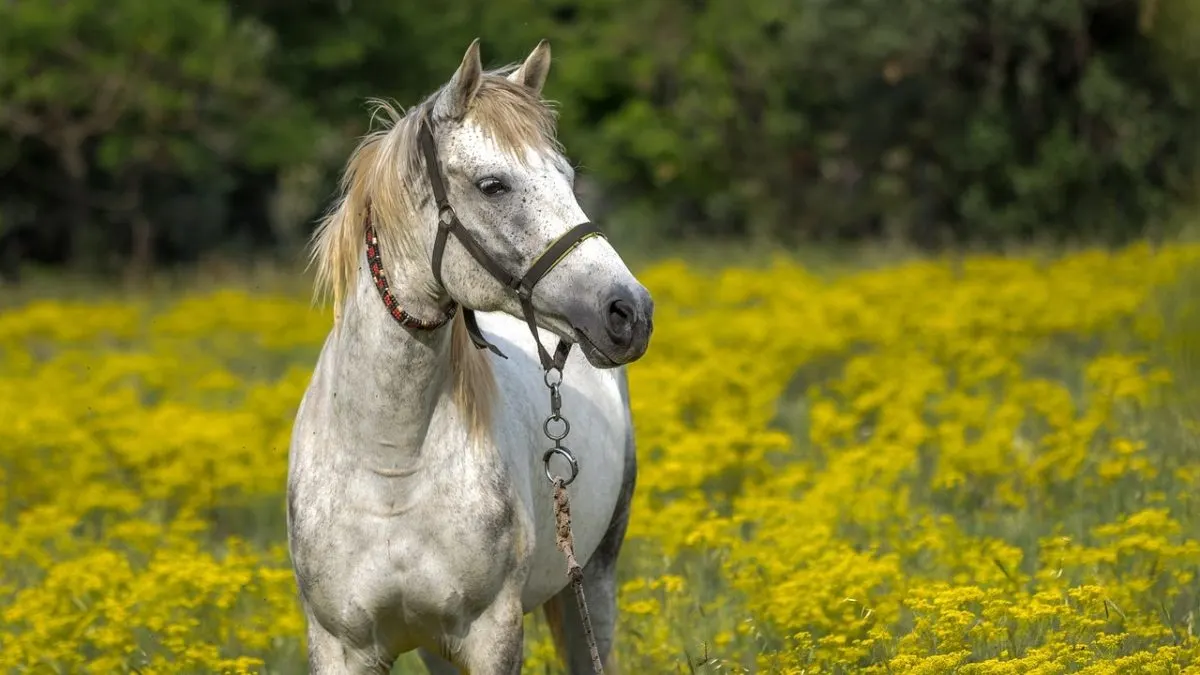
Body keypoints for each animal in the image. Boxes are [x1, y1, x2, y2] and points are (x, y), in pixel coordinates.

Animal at [286, 38, 655, 675]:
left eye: (567, 177)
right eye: (492, 185)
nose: (629, 312)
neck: (390, 466)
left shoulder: (491, 634)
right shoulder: (340, 645)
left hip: (595, 579)